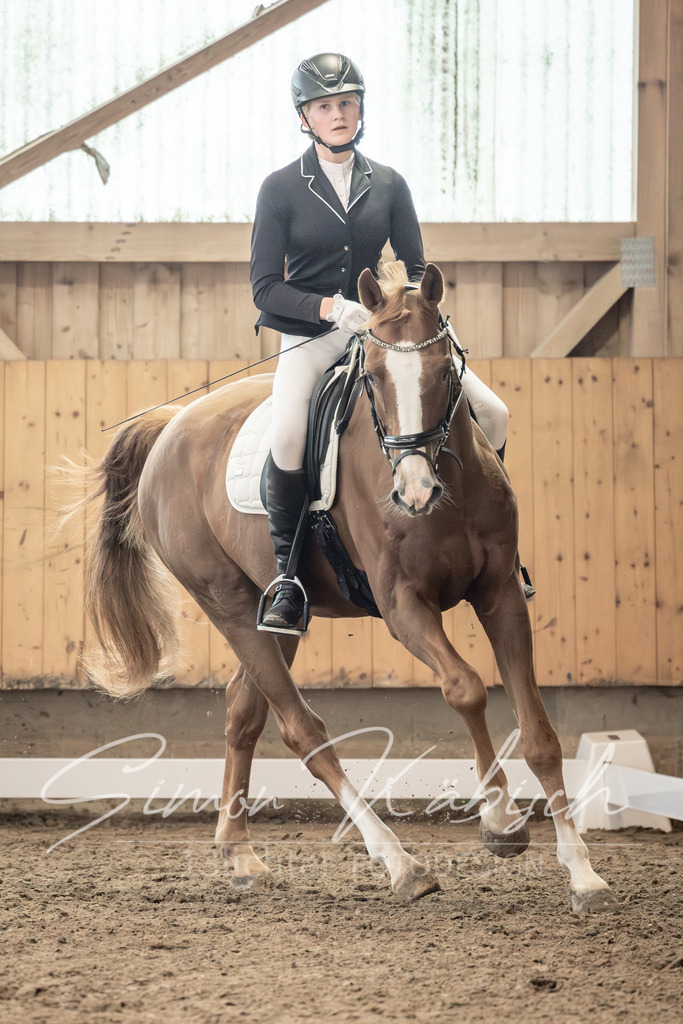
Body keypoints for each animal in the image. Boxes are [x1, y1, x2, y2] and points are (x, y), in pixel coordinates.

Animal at [78, 261, 617, 911]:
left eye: (444, 371)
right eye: (376, 379)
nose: (414, 492)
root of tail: (169, 428)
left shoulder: (501, 595)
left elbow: (540, 733)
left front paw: (583, 873)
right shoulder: (404, 605)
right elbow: (464, 688)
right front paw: (502, 822)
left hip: (274, 615)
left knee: (244, 711)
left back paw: (241, 855)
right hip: (226, 603)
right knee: (301, 730)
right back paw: (400, 864)